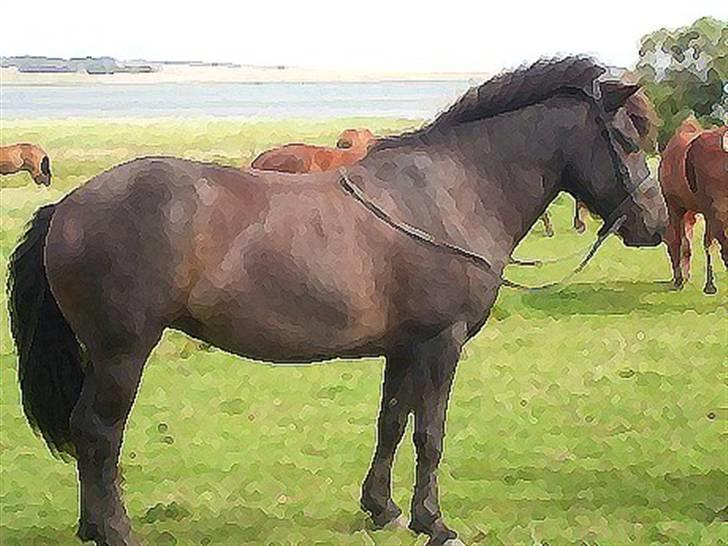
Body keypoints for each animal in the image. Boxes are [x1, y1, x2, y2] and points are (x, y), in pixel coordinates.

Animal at [7, 56, 664, 544]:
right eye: (628, 138)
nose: (654, 223)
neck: (452, 191)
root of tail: (67, 207)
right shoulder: (441, 345)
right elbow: (430, 434)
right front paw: (434, 522)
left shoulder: (404, 349)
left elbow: (392, 423)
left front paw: (384, 510)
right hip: (122, 353)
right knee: (98, 432)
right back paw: (114, 530)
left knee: (88, 433)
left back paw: (93, 527)